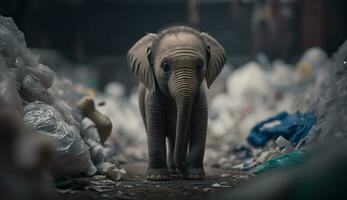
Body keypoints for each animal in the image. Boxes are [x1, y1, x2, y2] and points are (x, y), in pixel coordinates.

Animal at [127, 25, 226, 180]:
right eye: (165, 67)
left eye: (200, 65)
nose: (183, 165)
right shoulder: (152, 98)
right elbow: (155, 130)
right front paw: (157, 178)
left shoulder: (200, 100)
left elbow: (199, 130)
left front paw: (194, 176)